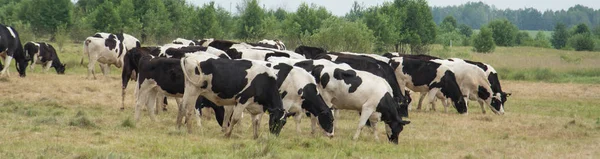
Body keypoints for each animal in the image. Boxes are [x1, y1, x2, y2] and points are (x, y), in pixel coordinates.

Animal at [270, 57, 410, 144]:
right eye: (398, 129)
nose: (395, 143)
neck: (384, 94)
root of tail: (319, 67)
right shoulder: (367, 107)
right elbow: (361, 124)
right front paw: (355, 138)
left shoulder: (375, 112)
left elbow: (374, 126)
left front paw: (376, 139)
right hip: (325, 98)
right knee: (318, 115)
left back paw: (315, 132)